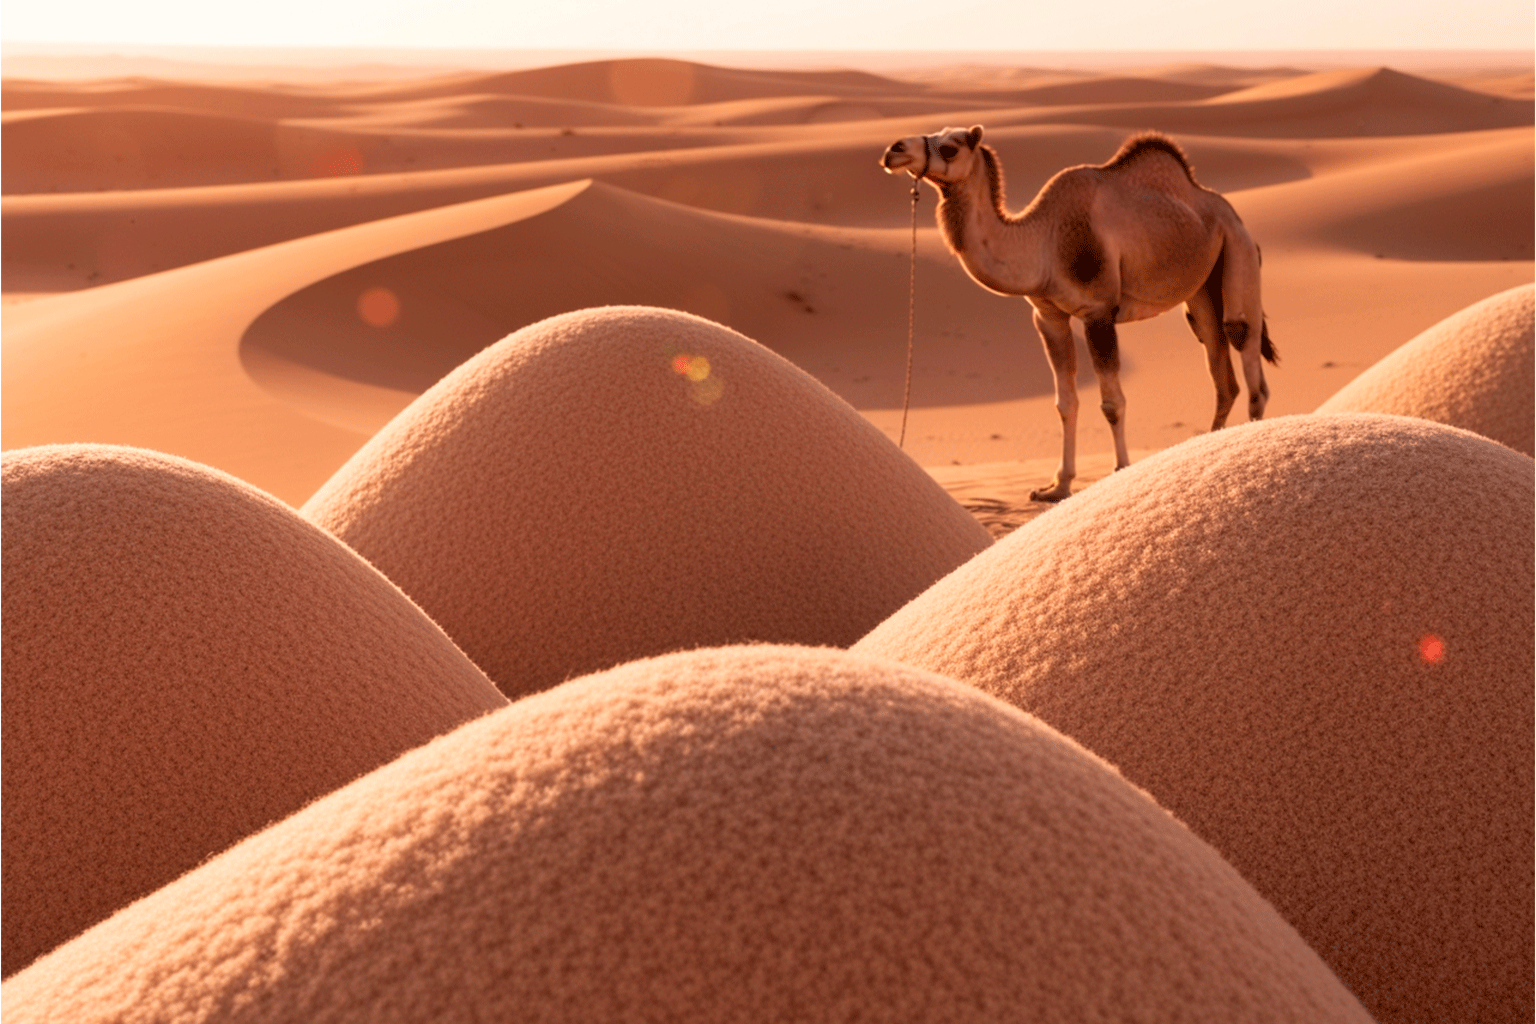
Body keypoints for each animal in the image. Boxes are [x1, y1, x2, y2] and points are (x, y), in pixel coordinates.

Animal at [881, 126, 1276, 501]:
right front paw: (1057, 486)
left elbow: (1112, 403)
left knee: (1245, 349)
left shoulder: (1098, 311)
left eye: (950, 147)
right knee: (1219, 367)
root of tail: (1232, 215)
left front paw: (1120, 471)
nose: (894, 150)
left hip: (1238, 250)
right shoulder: (1048, 316)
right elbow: (1065, 403)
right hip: (1201, 291)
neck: (1043, 241)